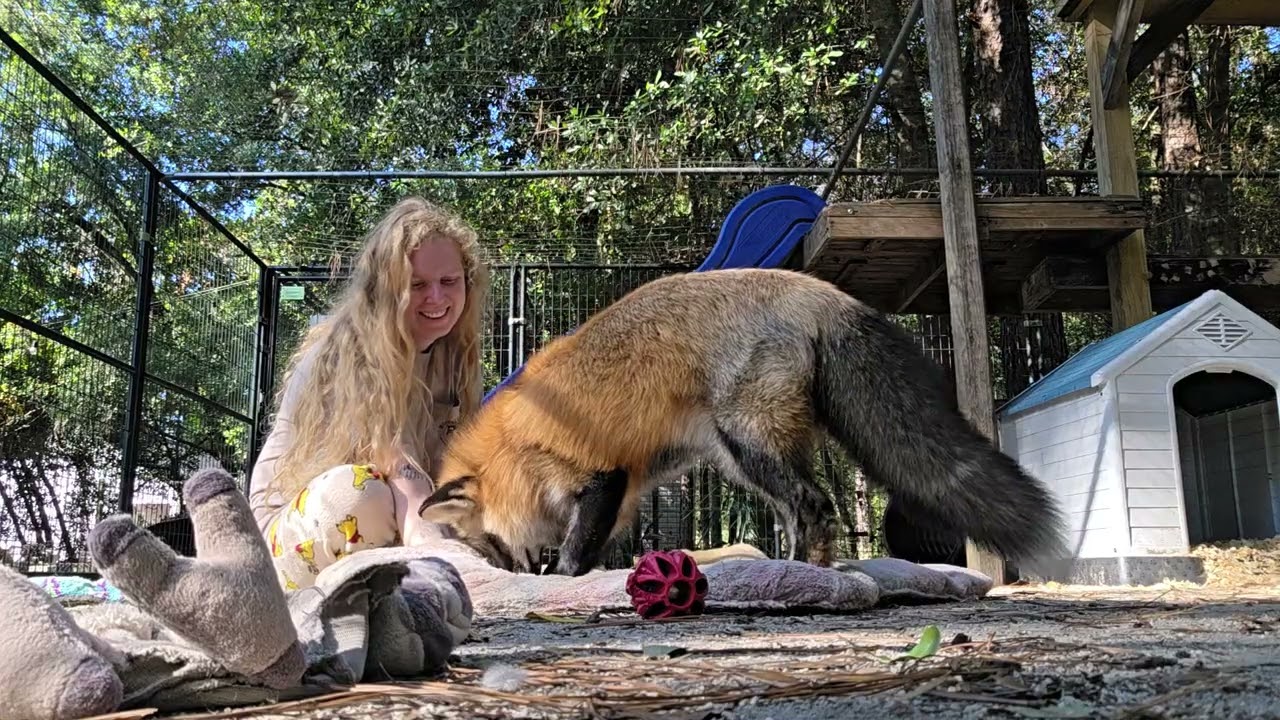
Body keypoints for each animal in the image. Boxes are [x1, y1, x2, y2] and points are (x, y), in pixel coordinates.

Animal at [419, 268, 1067, 577]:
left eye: (482, 540)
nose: (506, 569)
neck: (515, 449)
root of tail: (823, 293)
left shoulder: (602, 478)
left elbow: (580, 549)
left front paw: (562, 578)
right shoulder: (621, 487)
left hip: (748, 441)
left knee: (813, 504)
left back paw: (806, 576)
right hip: (739, 459)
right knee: (796, 509)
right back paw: (788, 570)